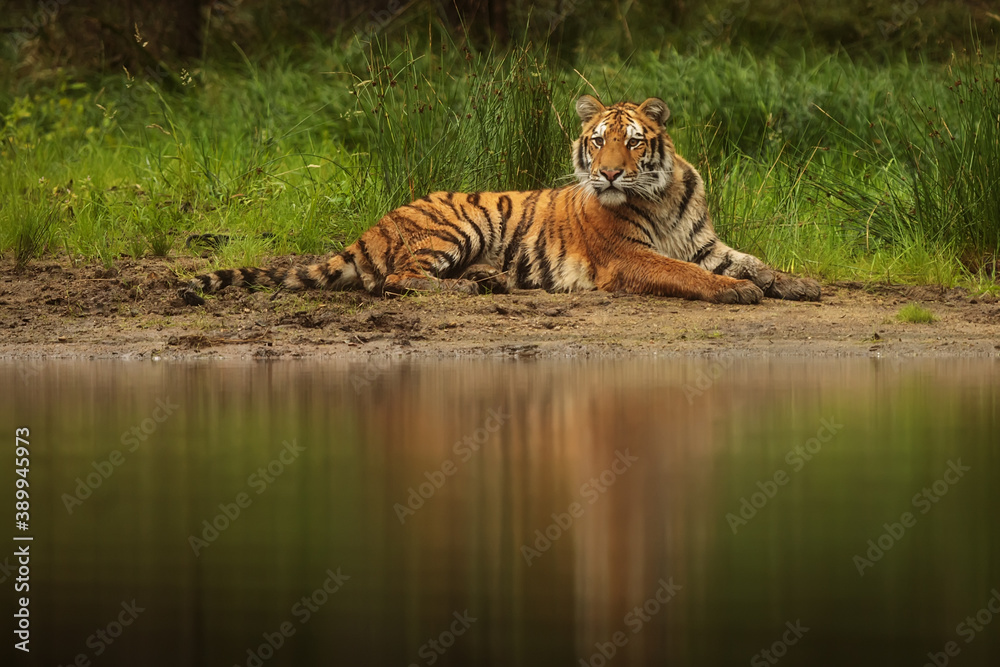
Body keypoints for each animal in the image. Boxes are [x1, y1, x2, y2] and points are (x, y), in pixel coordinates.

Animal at [180, 95, 820, 306]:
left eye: (634, 141)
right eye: (599, 140)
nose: (610, 174)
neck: (658, 196)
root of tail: (377, 223)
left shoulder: (706, 243)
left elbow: (755, 262)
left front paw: (801, 283)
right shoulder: (627, 257)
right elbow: (685, 272)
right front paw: (737, 292)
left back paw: (488, 282)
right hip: (459, 223)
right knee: (395, 280)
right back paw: (466, 290)